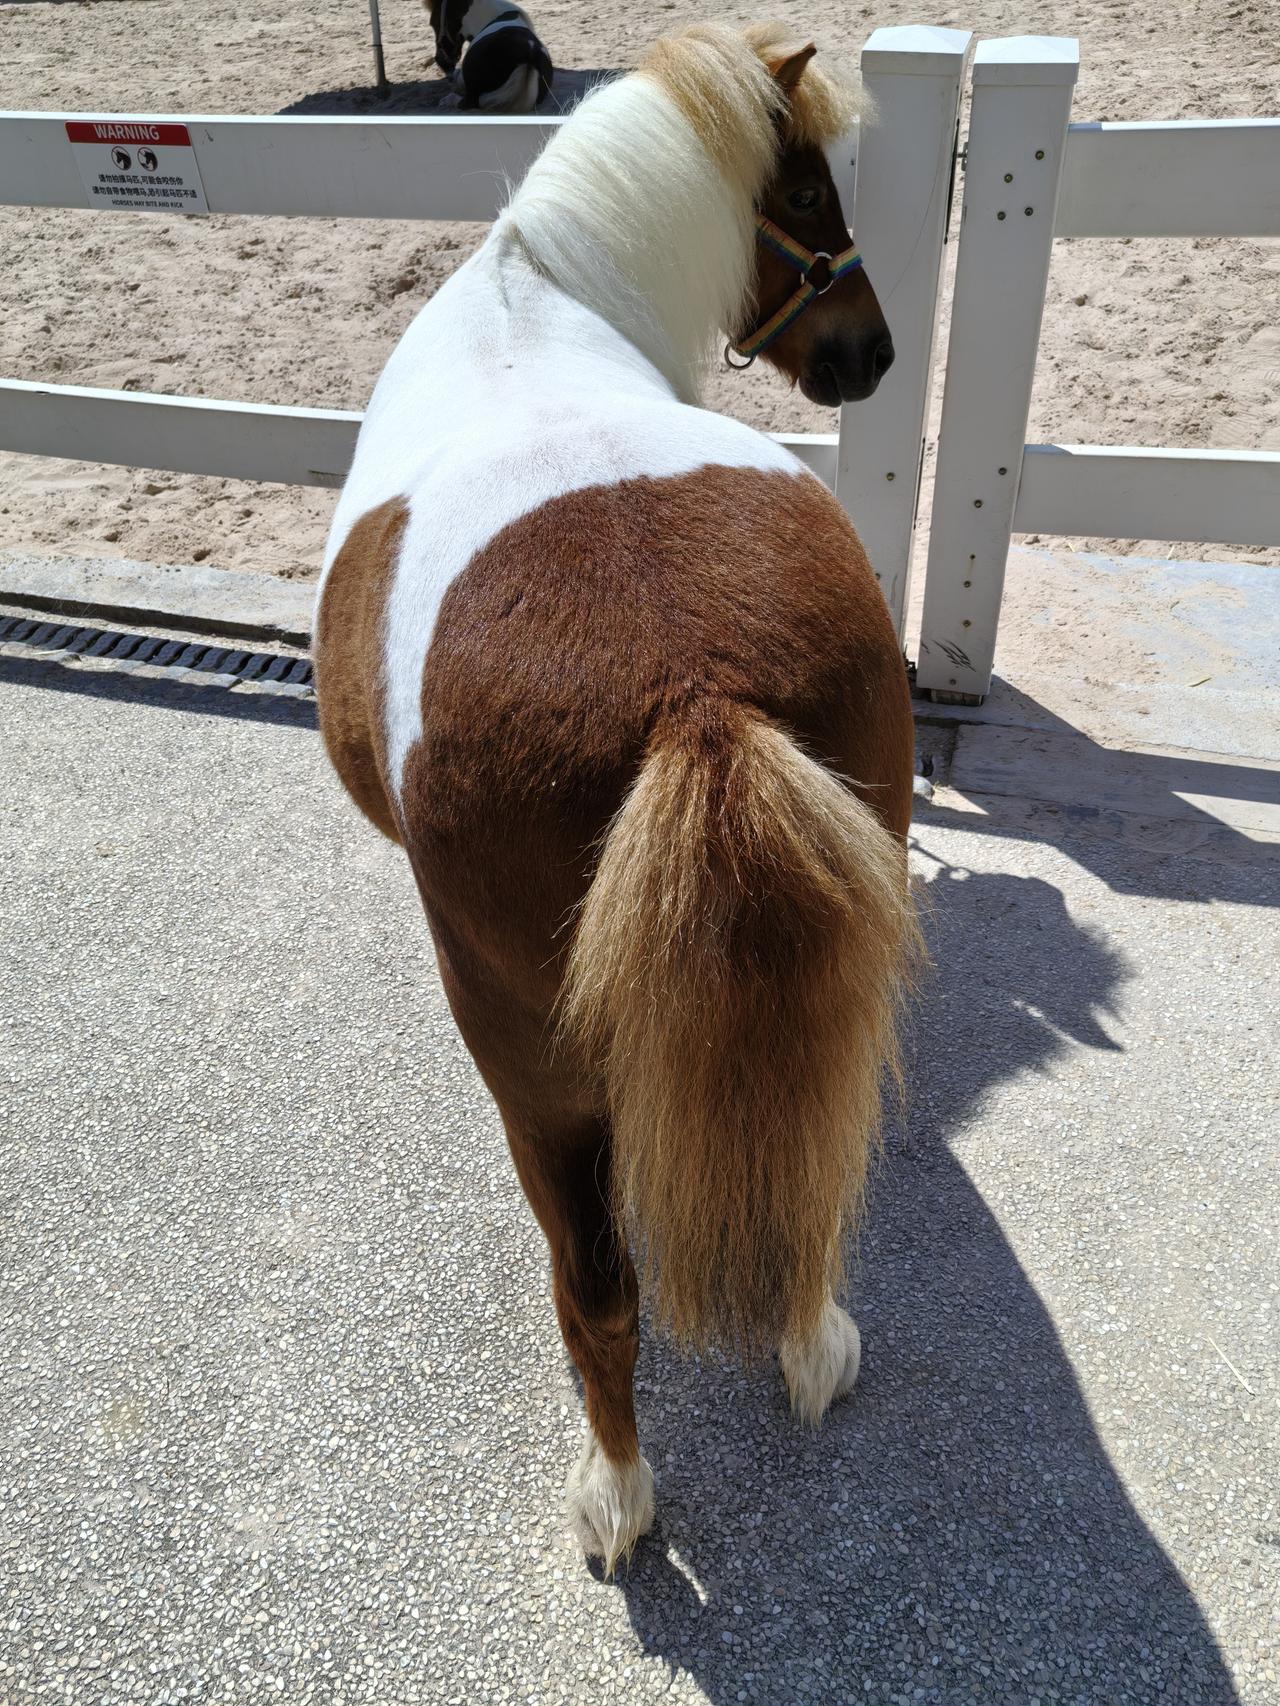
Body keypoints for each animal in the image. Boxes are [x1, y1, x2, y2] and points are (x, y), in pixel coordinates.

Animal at [314, 21, 919, 1573]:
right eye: (809, 190)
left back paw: (617, 1493)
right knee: (814, 1174)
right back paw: (812, 1345)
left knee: (593, 1286)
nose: (871, 350)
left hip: (524, 1054)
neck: (534, 293)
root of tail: (693, 687)